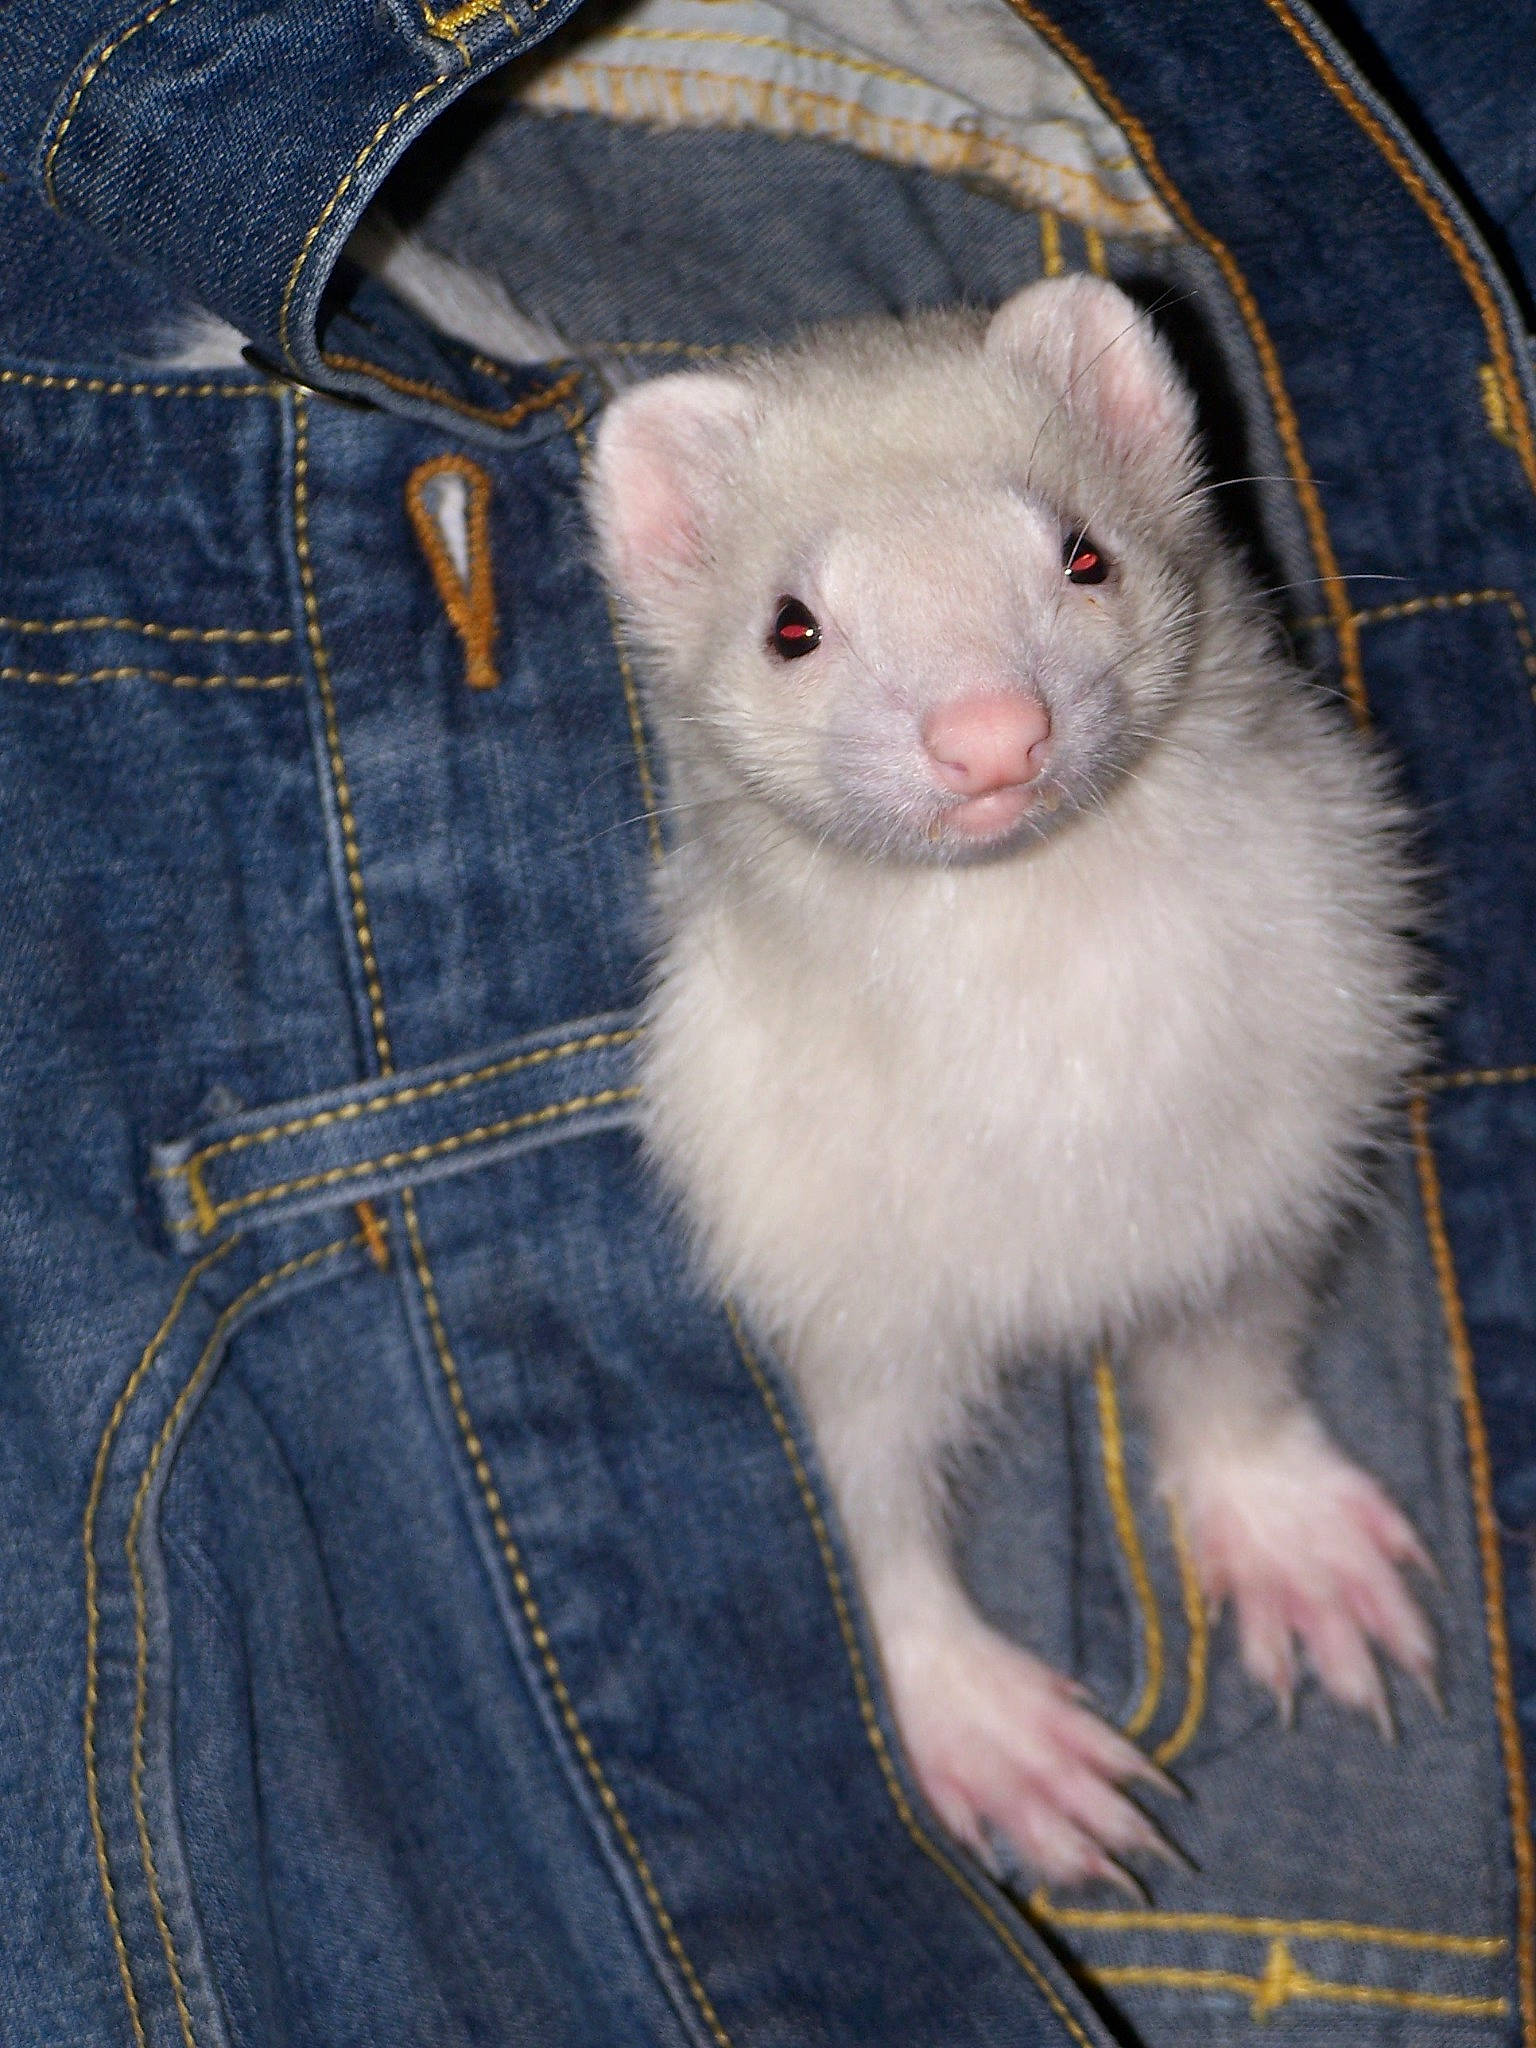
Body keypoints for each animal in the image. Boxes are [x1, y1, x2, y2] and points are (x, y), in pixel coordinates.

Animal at [586, 275, 1434, 1892]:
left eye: (1080, 548)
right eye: (792, 622)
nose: (988, 729)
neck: (1064, 1122)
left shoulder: (1267, 1148)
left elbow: (1233, 1370)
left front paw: (1293, 1543)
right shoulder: (818, 1253)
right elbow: (871, 1516)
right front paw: (994, 1734)